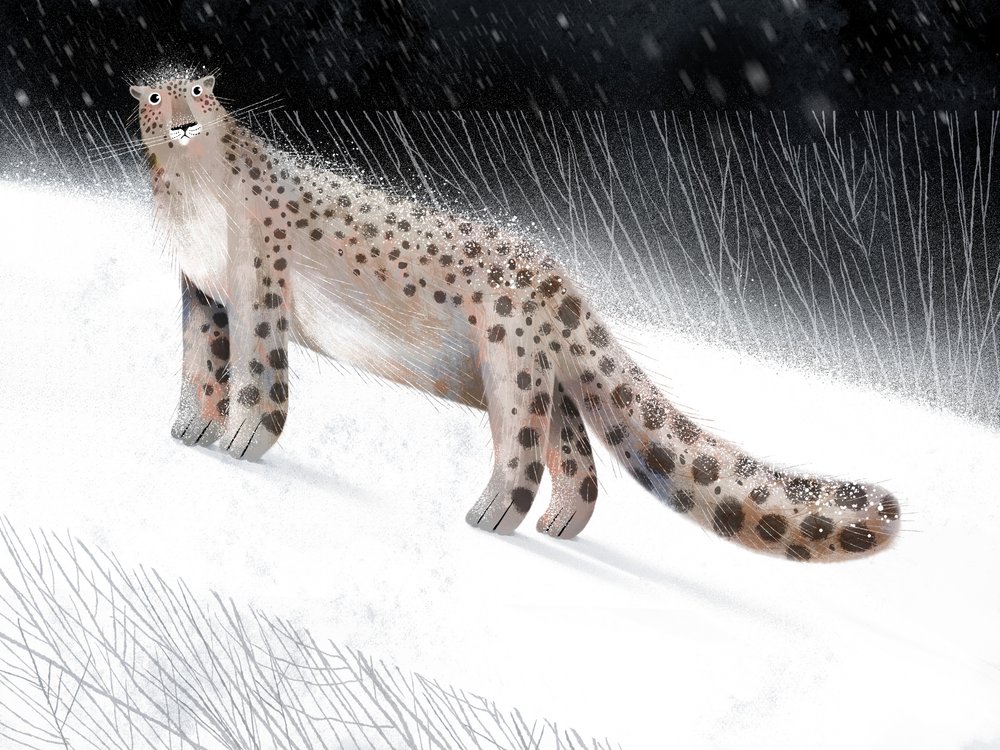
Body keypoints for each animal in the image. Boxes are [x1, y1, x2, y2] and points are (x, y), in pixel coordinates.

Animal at [129, 72, 901, 562]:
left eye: (201, 92)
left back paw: (491, 514)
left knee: (525, 447)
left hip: (510, 363)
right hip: (544, 378)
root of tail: (562, 280)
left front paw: (239, 439)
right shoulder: (202, 292)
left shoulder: (257, 288)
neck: (190, 199)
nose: (184, 122)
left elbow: (258, 373)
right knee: (578, 453)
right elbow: (200, 362)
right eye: (155, 96)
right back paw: (560, 522)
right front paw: (190, 427)